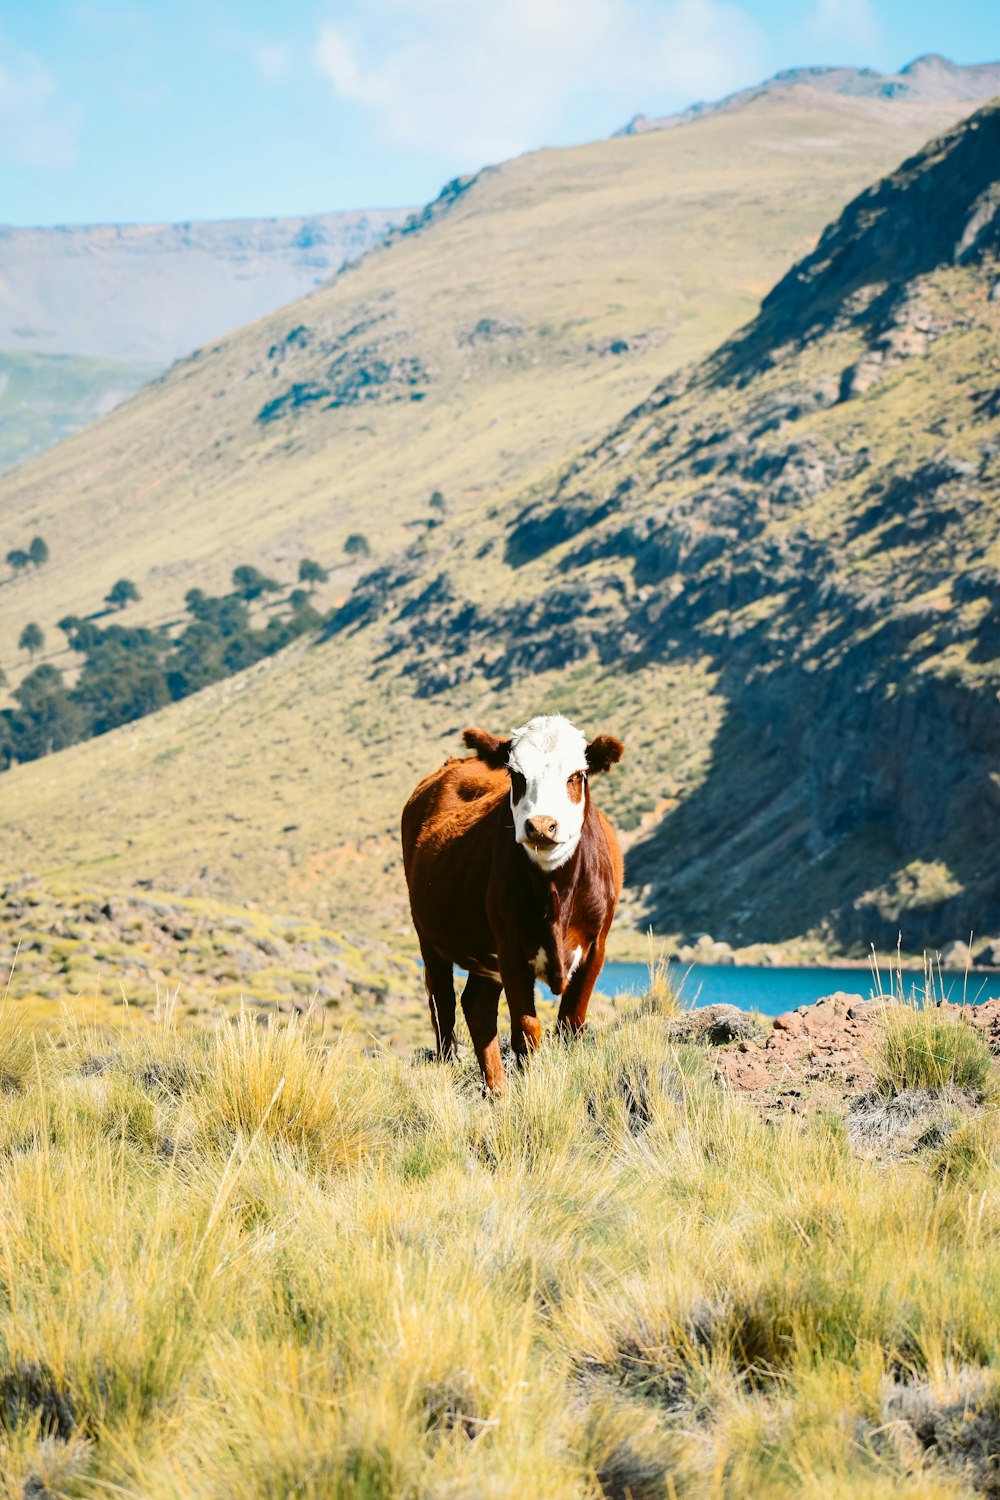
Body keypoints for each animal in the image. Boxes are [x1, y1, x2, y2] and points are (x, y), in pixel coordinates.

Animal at [401, 711, 620, 1092]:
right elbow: (527, 1032)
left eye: (577, 775)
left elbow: (571, 1024)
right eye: (517, 775)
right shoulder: (512, 949)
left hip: (484, 956)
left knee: (476, 1005)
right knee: (443, 1006)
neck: (556, 891)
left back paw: (497, 1091)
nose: (542, 826)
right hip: (429, 936)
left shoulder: (596, 946)